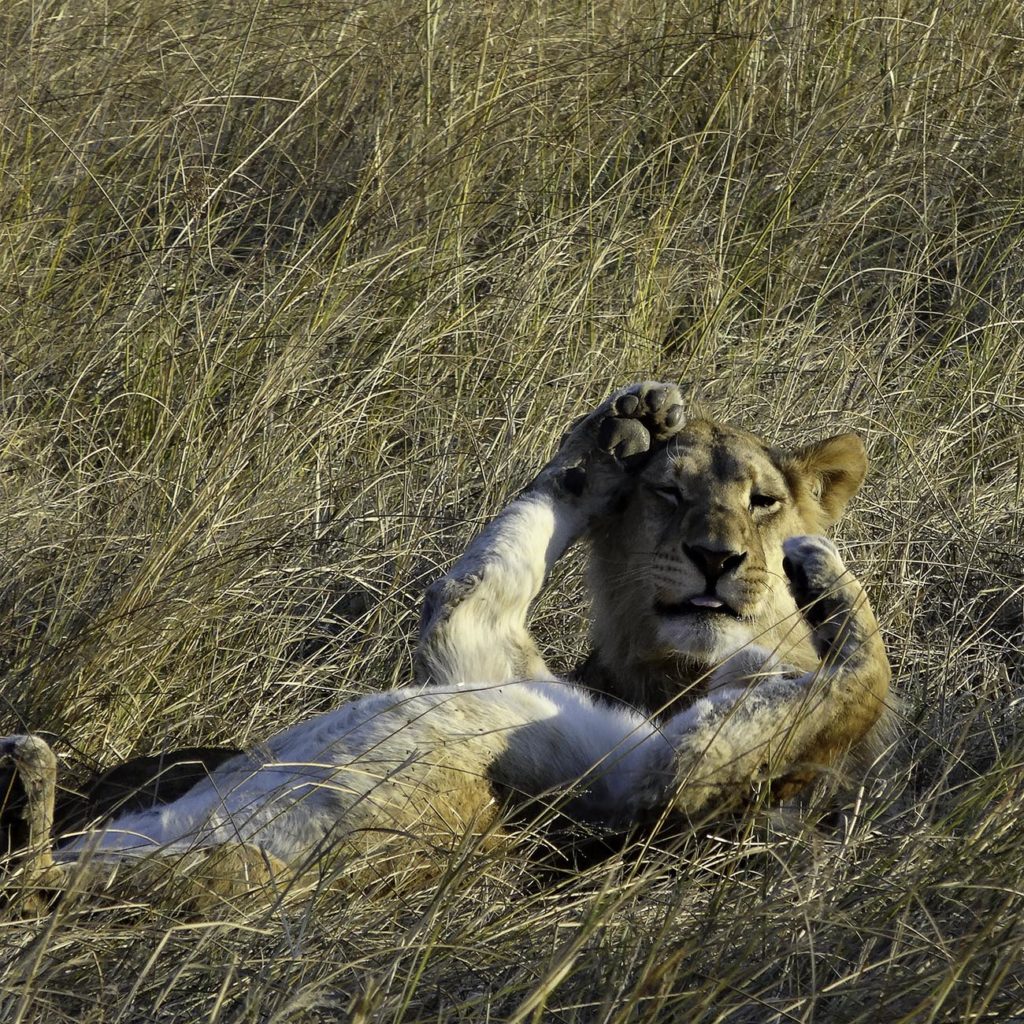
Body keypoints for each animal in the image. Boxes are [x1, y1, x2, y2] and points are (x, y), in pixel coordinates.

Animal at [0, 385, 892, 913]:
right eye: (670, 492)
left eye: (763, 502)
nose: (719, 559)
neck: (688, 676)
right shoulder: (482, 646)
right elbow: (503, 551)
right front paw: (622, 427)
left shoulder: (656, 784)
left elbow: (857, 687)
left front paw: (820, 569)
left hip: (234, 870)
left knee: (37, 885)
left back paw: (27, 771)